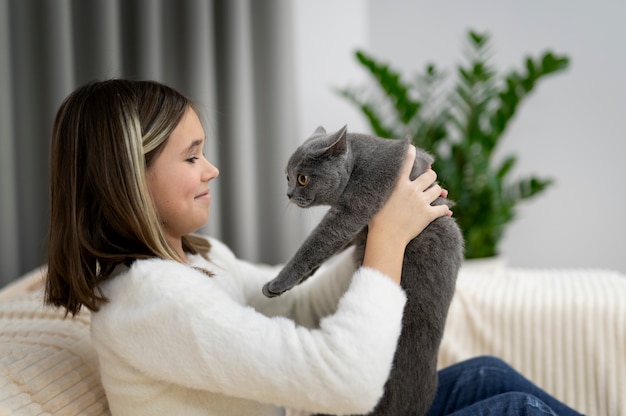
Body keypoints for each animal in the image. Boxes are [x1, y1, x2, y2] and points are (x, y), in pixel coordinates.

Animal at [260, 125, 460, 414]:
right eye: (287, 177)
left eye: (302, 178)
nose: (288, 193)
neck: (356, 163)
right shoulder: (357, 228)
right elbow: (328, 247)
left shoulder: (357, 203)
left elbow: (316, 243)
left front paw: (277, 283)